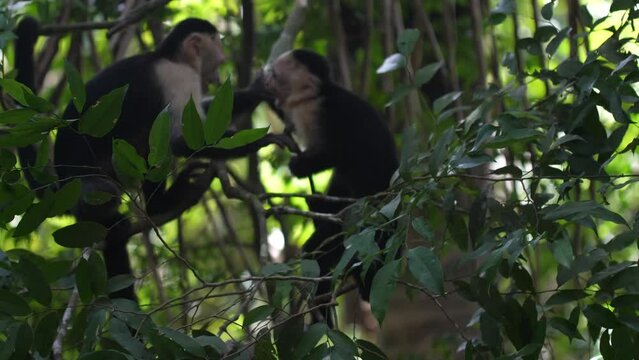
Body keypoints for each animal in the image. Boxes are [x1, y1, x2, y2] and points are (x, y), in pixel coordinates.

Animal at [13, 16, 292, 298]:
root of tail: (61, 184)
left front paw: (256, 91)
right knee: (121, 174)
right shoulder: (178, 77)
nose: (219, 68)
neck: (169, 56)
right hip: (87, 182)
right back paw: (156, 206)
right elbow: (183, 140)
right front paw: (263, 140)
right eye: (219, 56)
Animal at [262, 48, 398, 326]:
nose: (266, 81)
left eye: (276, 75)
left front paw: (300, 166)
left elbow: (337, 151)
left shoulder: (319, 111)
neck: (316, 94)